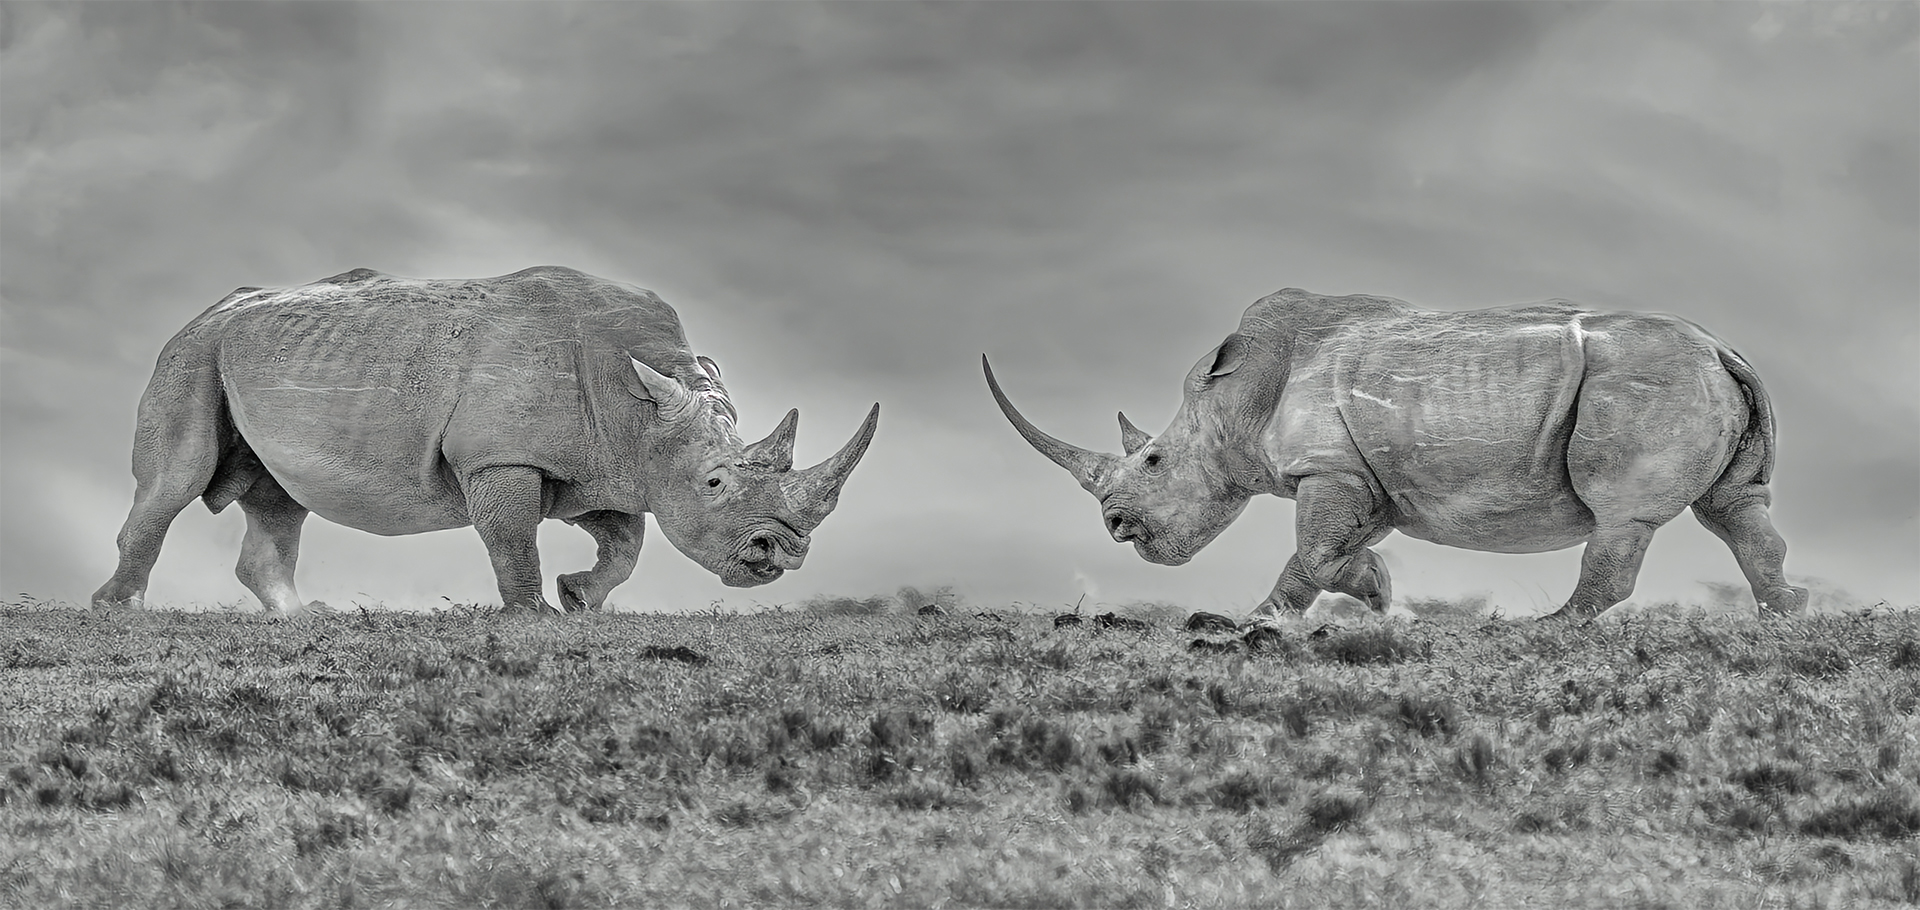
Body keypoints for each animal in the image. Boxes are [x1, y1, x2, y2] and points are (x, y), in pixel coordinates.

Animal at [93, 266, 879, 614]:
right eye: (715, 483)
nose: (782, 553)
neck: (639, 405)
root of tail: (212, 307)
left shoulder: (605, 464)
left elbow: (626, 543)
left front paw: (579, 599)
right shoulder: (502, 456)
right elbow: (511, 535)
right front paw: (533, 615)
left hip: (261, 353)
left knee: (280, 498)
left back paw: (302, 618)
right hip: (194, 353)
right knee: (176, 481)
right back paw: (121, 610)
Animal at [985, 288, 1806, 622]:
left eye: (1153, 462)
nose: (1116, 526)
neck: (1234, 400)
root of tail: (1723, 348)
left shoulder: (1329, 467)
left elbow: (1315, 555)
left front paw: (1368, 597)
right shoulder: (1370, 478)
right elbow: (1316, 562)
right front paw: (1262, 621)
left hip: (1643, 383)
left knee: (1621, 516)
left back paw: (1538, 629)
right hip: (1691, 380)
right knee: (1734, 509)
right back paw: (1785, 615)